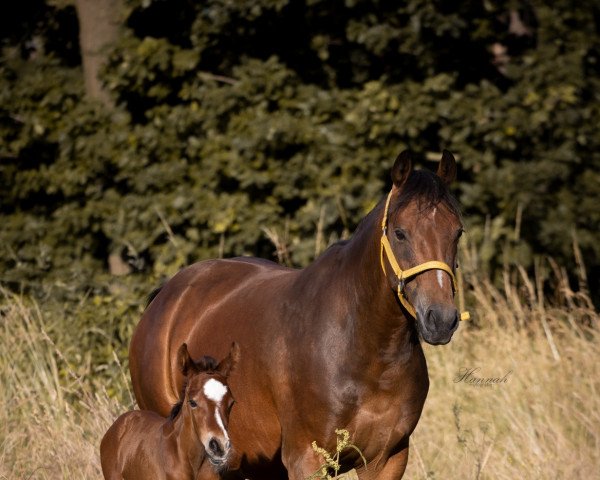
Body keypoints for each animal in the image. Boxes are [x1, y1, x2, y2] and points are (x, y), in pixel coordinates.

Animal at [130, 149, 468, 476]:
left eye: (457, 232)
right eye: (400, 233)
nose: (441, 319)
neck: (364, 351)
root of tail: (166, 297)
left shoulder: (387, 459)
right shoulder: (306, 459)